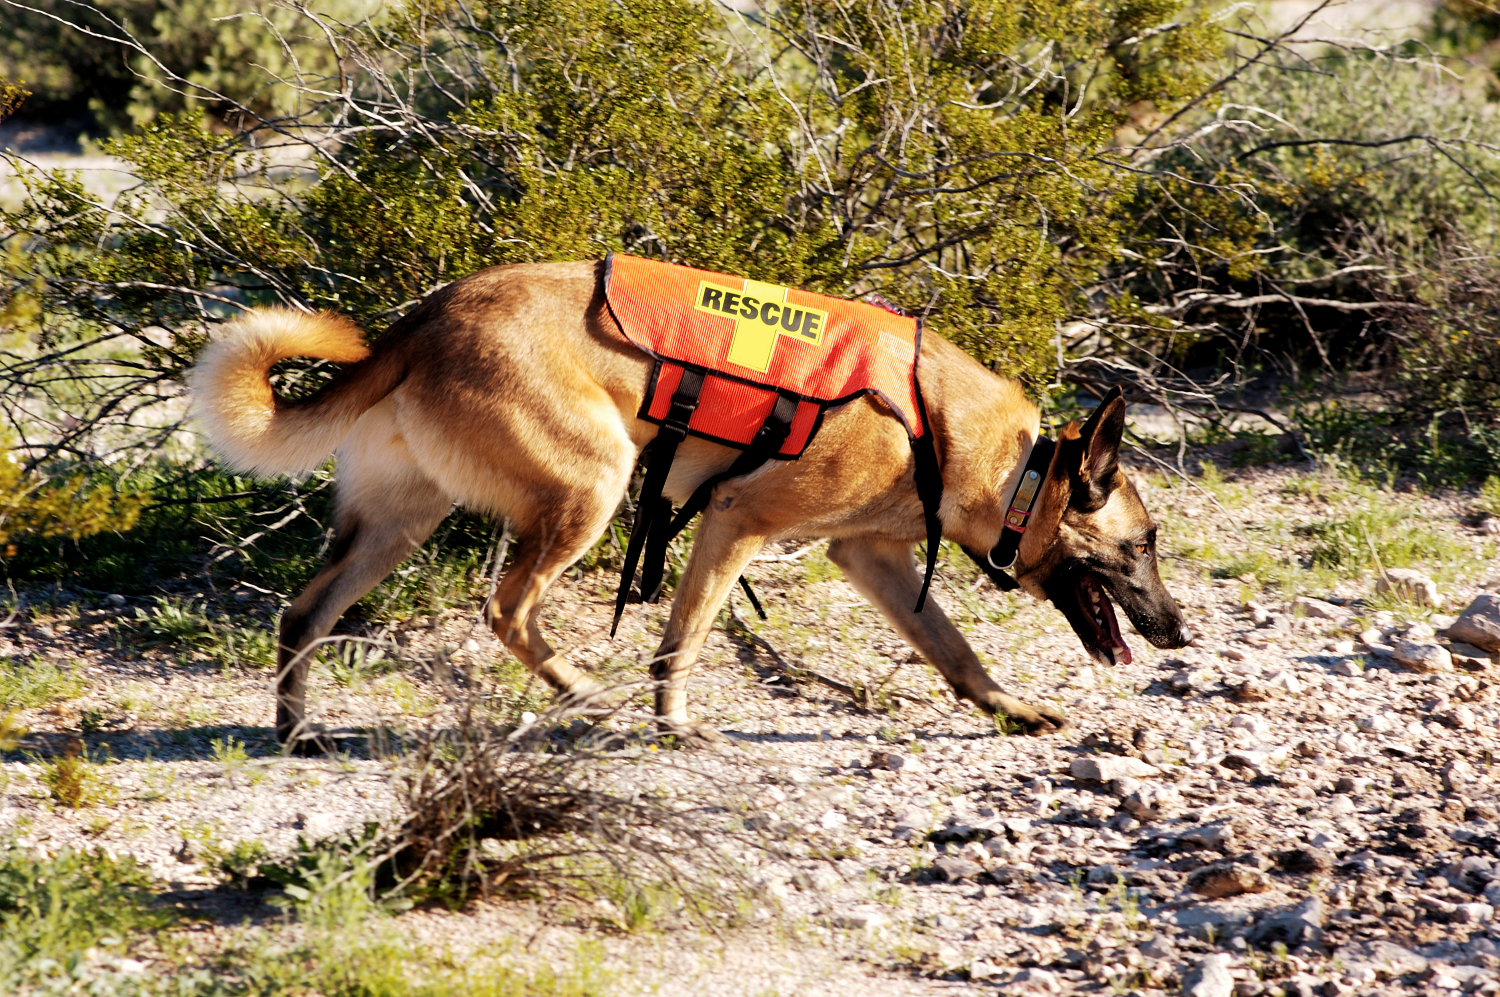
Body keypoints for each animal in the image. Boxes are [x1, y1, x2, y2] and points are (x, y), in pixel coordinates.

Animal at [190, 260, 1194, 743]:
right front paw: (672, 725)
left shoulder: (869, 557)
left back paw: (296, 732)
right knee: (509, 610)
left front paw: (1009, 710)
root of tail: (424, 318)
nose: (1182, 633)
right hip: (590, 489)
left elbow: (956, 651)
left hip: (396, 525)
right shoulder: (735, 524)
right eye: (1143, 546)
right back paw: (585, 695)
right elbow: (680, 646)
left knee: (305, 613)